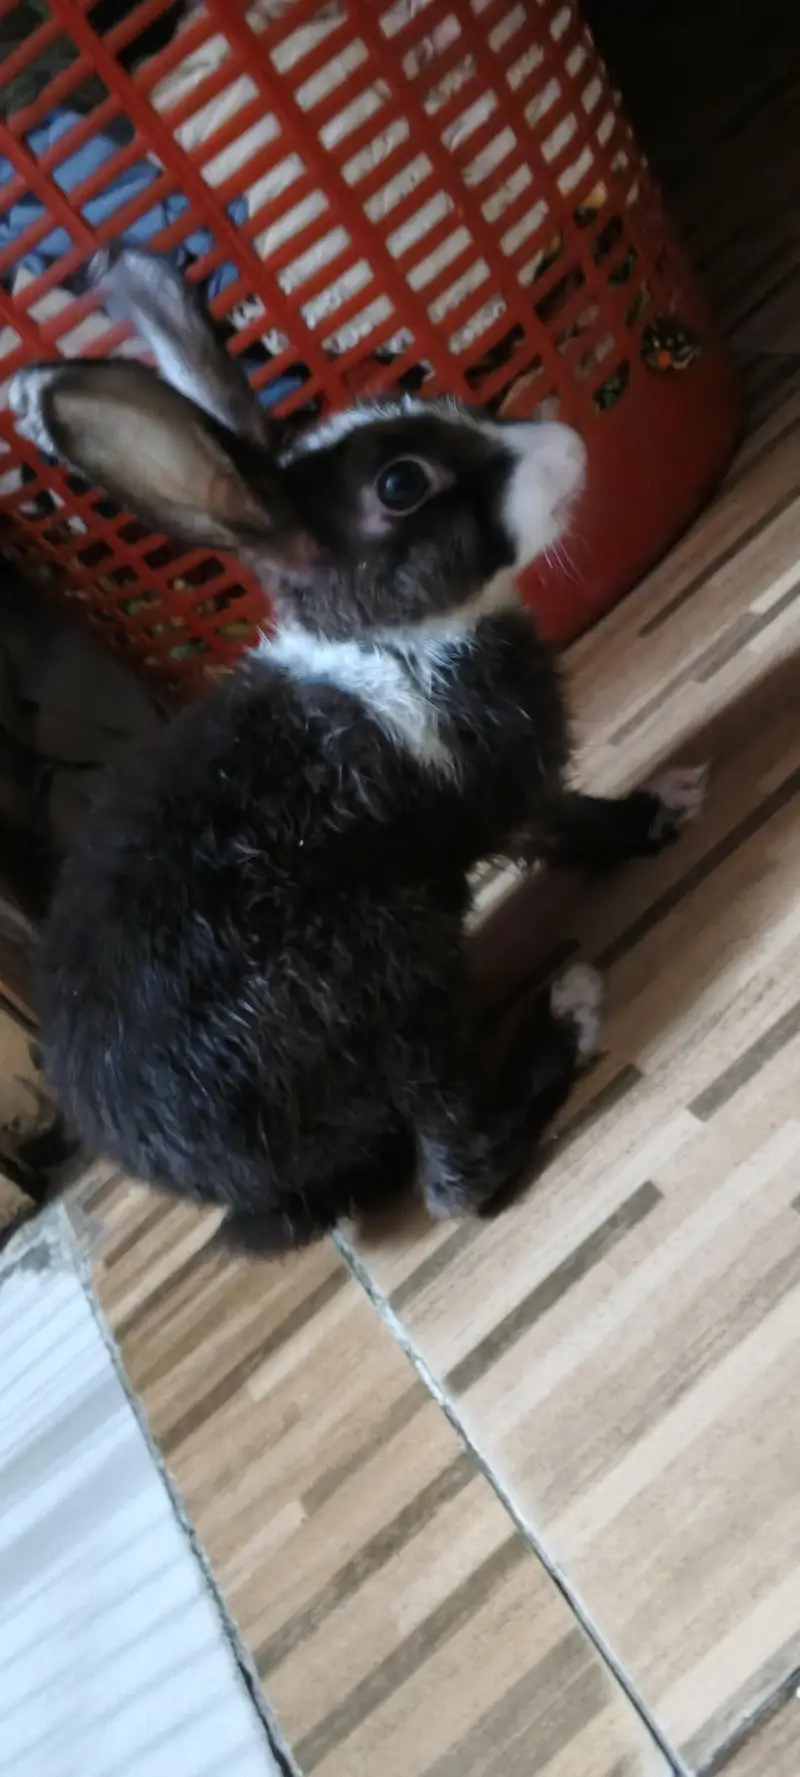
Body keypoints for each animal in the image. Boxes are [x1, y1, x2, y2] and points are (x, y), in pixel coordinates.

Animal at [9, 247, 707, 1253]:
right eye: (402, 486)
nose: (569, 446)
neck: (393, 639)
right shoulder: (504, 791)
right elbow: (572, 820)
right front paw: (668, 805)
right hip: (389, 973)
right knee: (456, 1178)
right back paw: (568, 1012)